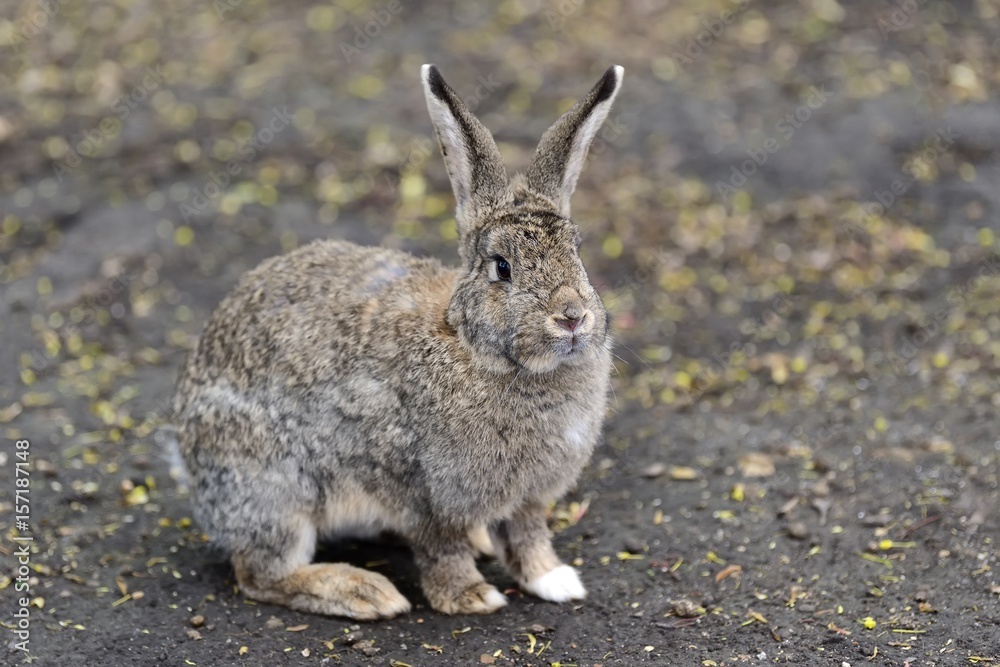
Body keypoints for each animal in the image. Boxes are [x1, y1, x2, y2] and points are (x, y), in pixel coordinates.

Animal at [172, 64, 624, 620]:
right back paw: (363, 592)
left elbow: (527, 536)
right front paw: (470, 596)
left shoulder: (529, 498)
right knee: (259, 573)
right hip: (275, 488)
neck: (477, 351)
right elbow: (440, 548)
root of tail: (187, 457)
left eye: (576, 253)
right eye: (502, 268)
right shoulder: (423, 491)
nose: (573, 317)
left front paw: (554, 580)